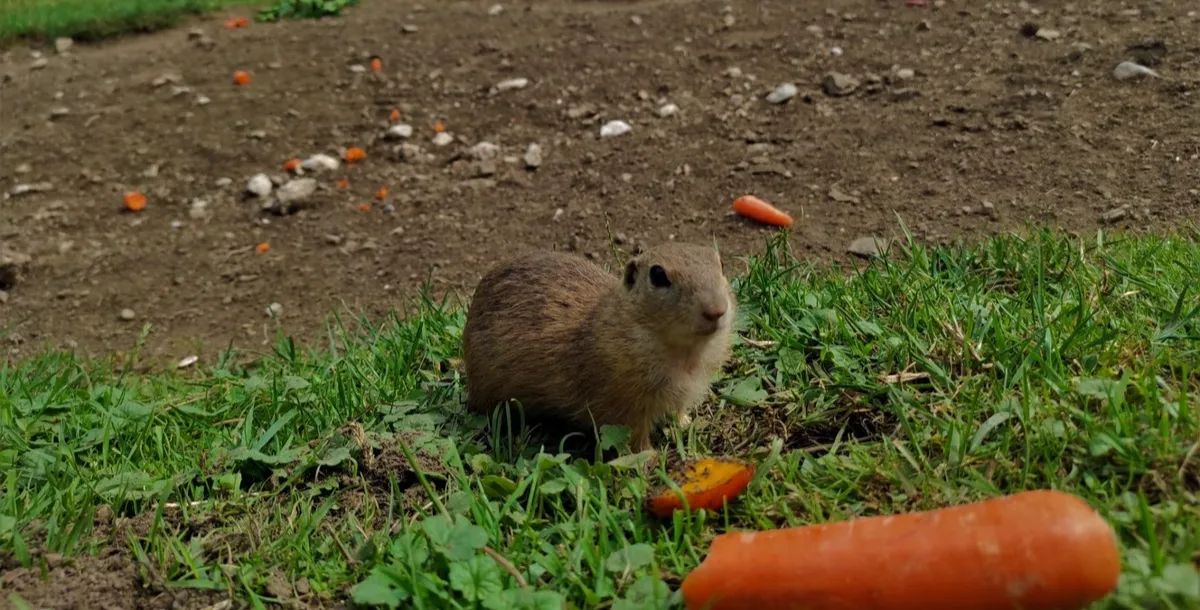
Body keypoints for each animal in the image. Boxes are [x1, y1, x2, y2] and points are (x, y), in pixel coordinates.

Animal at [460, 243, 734, 453]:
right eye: (657, 275)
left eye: (721, 264)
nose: (716, 310)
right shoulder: (626, 404)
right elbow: (636, 436)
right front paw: (650, 457)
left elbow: (679, 411)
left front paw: (689, 424)